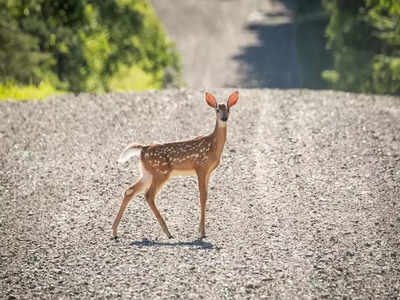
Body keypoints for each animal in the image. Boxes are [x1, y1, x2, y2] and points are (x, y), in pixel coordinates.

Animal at [111, 90, 239, 238]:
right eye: (217, 110)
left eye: (228, 109)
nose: (224, 118)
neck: (213, 146)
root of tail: (143, 149)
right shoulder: (200, 167)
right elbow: (202, 196)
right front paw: (202, 232)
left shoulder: (208, 171)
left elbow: (206, 196)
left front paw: (201, 229)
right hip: (161, 172)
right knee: (148, 195)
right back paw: (168, 232)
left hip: (147, 173)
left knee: (129, 191)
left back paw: (114, 231)